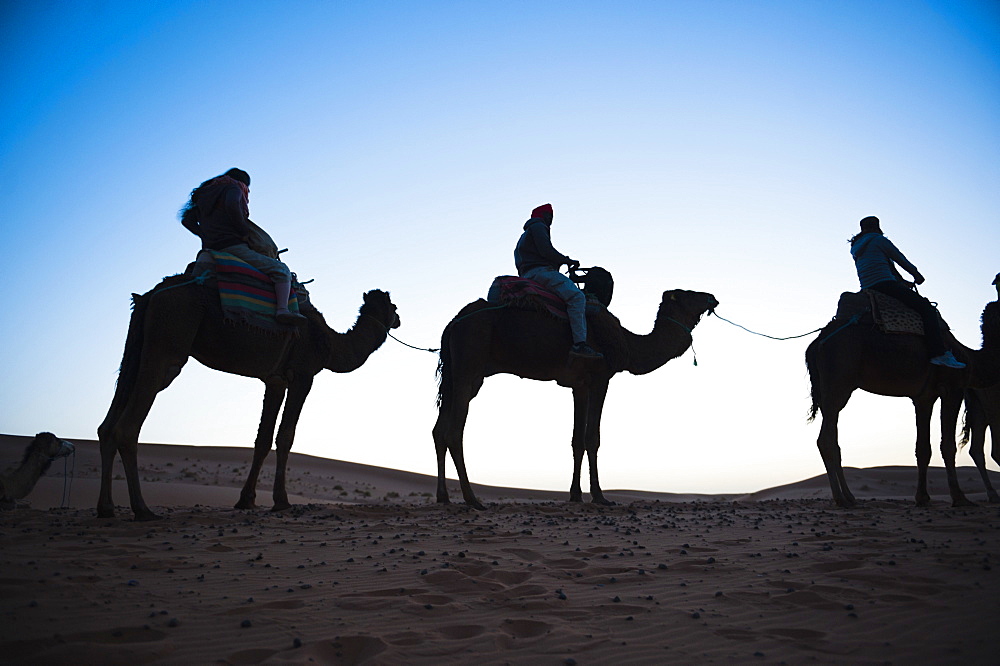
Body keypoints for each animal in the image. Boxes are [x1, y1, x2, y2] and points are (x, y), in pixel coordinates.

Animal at [97, 274, 398, 520]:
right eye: (393, 307)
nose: (398, 319)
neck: (330, 344)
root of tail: (150, 295)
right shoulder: (303, 375)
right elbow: (286, 436)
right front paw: (281, 501)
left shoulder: (275, 381)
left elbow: (263, 439)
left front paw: (247, 500)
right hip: (168, 342)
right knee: (128, 426)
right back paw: (142, 510)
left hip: (136, 347)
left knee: (107, 425)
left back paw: (106, 508)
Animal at [434, 286, 716, 508]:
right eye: (688, 294)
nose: (712, 297)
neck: (627, 343)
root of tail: (453, 323)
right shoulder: (601, 378)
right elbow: (593, 438)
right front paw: (600, 496)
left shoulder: (579, 386)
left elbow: (576, 440)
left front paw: (576, 495)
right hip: (469, 364)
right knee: (455, 431)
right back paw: (472, 499)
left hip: (459, 375)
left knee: (440, 430)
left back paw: (444, 497)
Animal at [804, 294, 1000, 506]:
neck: (971, 360)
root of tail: (817, 342)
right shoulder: (953, 388)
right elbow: (947, 445)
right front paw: (959, 497)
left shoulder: (924, 398)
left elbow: (923, 448)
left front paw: (922, 497)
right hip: (838, 382)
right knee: (825, 439)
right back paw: (841, 498)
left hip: (831, 390)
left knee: (833, 438)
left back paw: (849, 496)